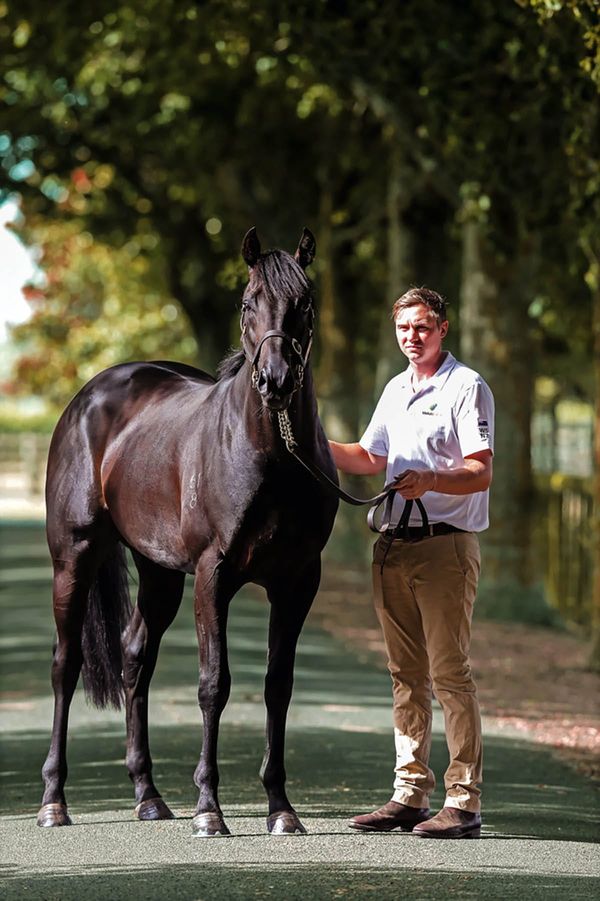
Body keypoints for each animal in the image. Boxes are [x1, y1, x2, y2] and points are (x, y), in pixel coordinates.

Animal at [37, 227, 339, 836]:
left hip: (158, 572)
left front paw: (281, 810)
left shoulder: (297, 582)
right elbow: (213, 683)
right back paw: (54, 801)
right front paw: (209, 810)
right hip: (74, 558)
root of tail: (92, 395)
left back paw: (149, 796)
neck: (271, 457)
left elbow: (278, 686)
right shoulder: (213, 574)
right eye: (247, 303)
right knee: (65, 664)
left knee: (135, 657)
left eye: (305, 302)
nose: (275, 382)